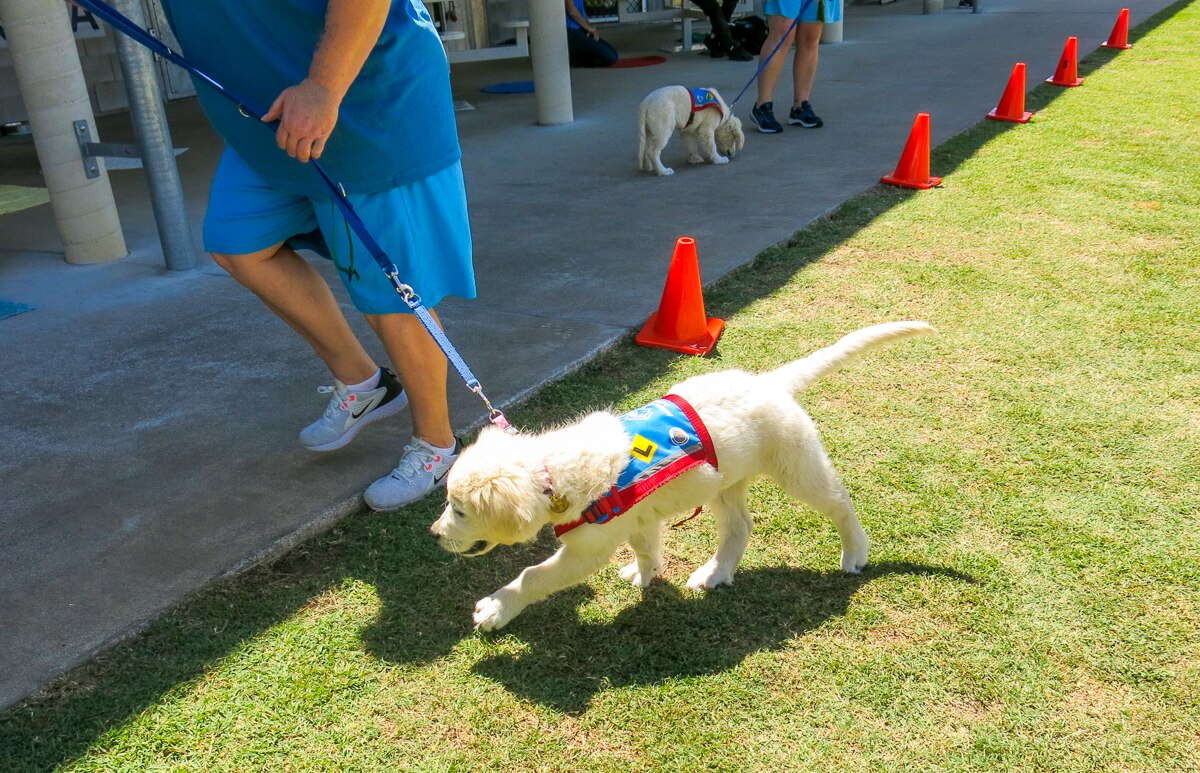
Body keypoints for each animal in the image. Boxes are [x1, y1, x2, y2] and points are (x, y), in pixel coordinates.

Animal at [432, 321, 936, 631]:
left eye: (459, 510)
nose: (435, 534)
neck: (551, 472)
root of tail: (770, 383)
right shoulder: (637, 516)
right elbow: (645, 544)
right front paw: (645, 572)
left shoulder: (588, 548)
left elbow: (534, 576)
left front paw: (496, 607)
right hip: (724, 483)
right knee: (740, 527)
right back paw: (716, 573)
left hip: (796, 465)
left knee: (839, 502)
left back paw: (855, 552)